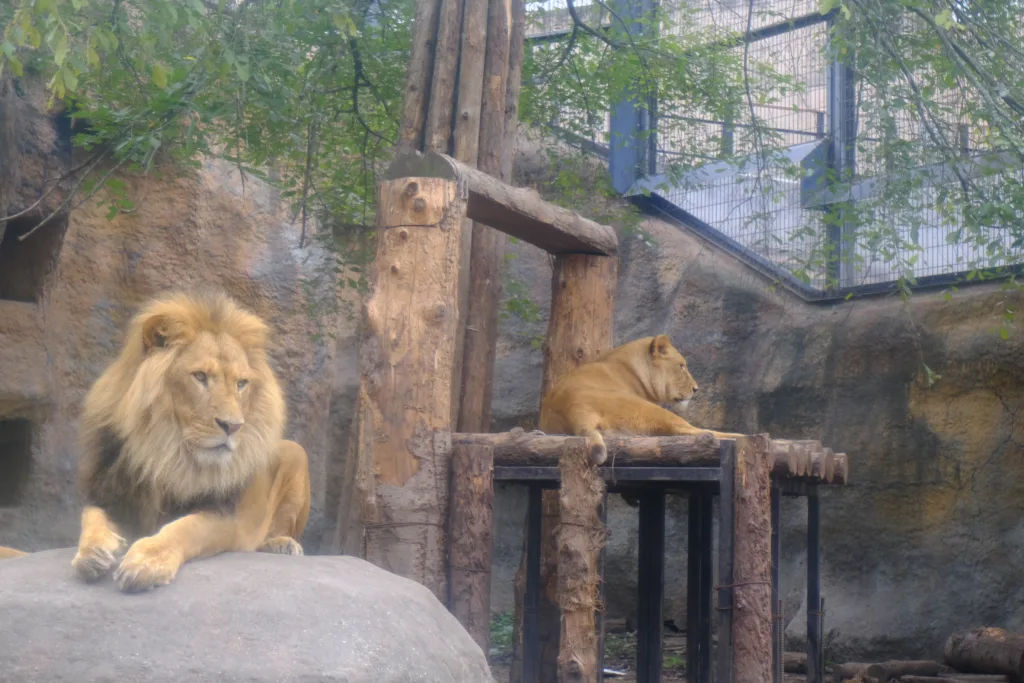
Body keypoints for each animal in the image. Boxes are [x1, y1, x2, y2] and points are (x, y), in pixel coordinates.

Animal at [68, 288, 309, 593]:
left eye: (241, 383)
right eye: (200, 377)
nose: (233, 426)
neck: (166, 452)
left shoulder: (227, 516)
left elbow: (186, 528)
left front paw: (147, 562)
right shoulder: (108, 491)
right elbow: (90, 516)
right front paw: (93, 552)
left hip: (296, 452)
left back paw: (282, 544)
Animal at [536, 335, 745, 466]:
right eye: (681, 366)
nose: (696, 389)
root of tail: (572, 407)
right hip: (648, 410)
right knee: (692, 430)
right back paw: (740, 436)